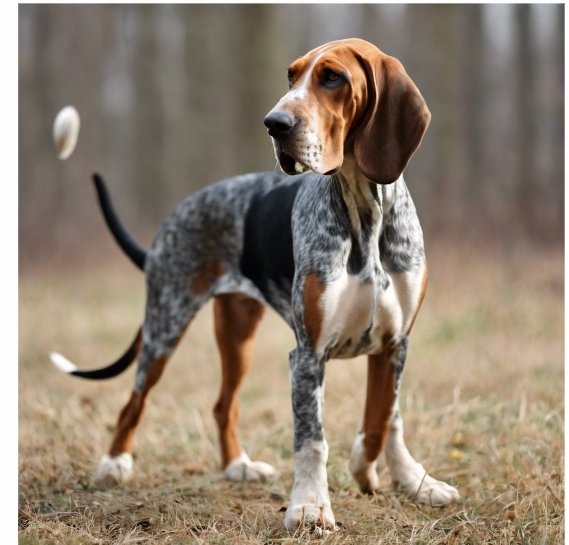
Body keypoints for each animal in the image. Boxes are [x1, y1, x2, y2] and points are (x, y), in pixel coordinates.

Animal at [52, 39, 458, 532]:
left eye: (333, 78)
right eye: (291, 75)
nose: (274, 124)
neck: (364, 208)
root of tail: (176, 216)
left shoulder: (395, 343)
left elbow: (385, 418)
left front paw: (406, 478)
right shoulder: (308, 355)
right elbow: (313, 439)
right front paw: (310, 506)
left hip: (237, 336)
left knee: (223, 405)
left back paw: (237, 466)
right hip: (165, 328)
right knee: (134, 402)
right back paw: (114, 464)